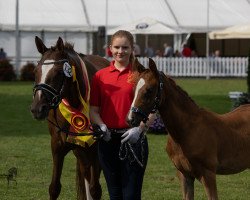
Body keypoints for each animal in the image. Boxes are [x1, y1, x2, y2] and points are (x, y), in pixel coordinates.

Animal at [30, 36, 109, 199]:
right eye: (35, 71)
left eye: (59, 72)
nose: (37, 109)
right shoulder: (57, 146)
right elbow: (54, 188)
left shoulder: (95, 150)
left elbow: (95, 189)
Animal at [127, 57, 250, 198]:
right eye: (134, 89)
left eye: (149, 90)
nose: (130, 119)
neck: (187, 130)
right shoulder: (184, 175)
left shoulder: (208, 174)